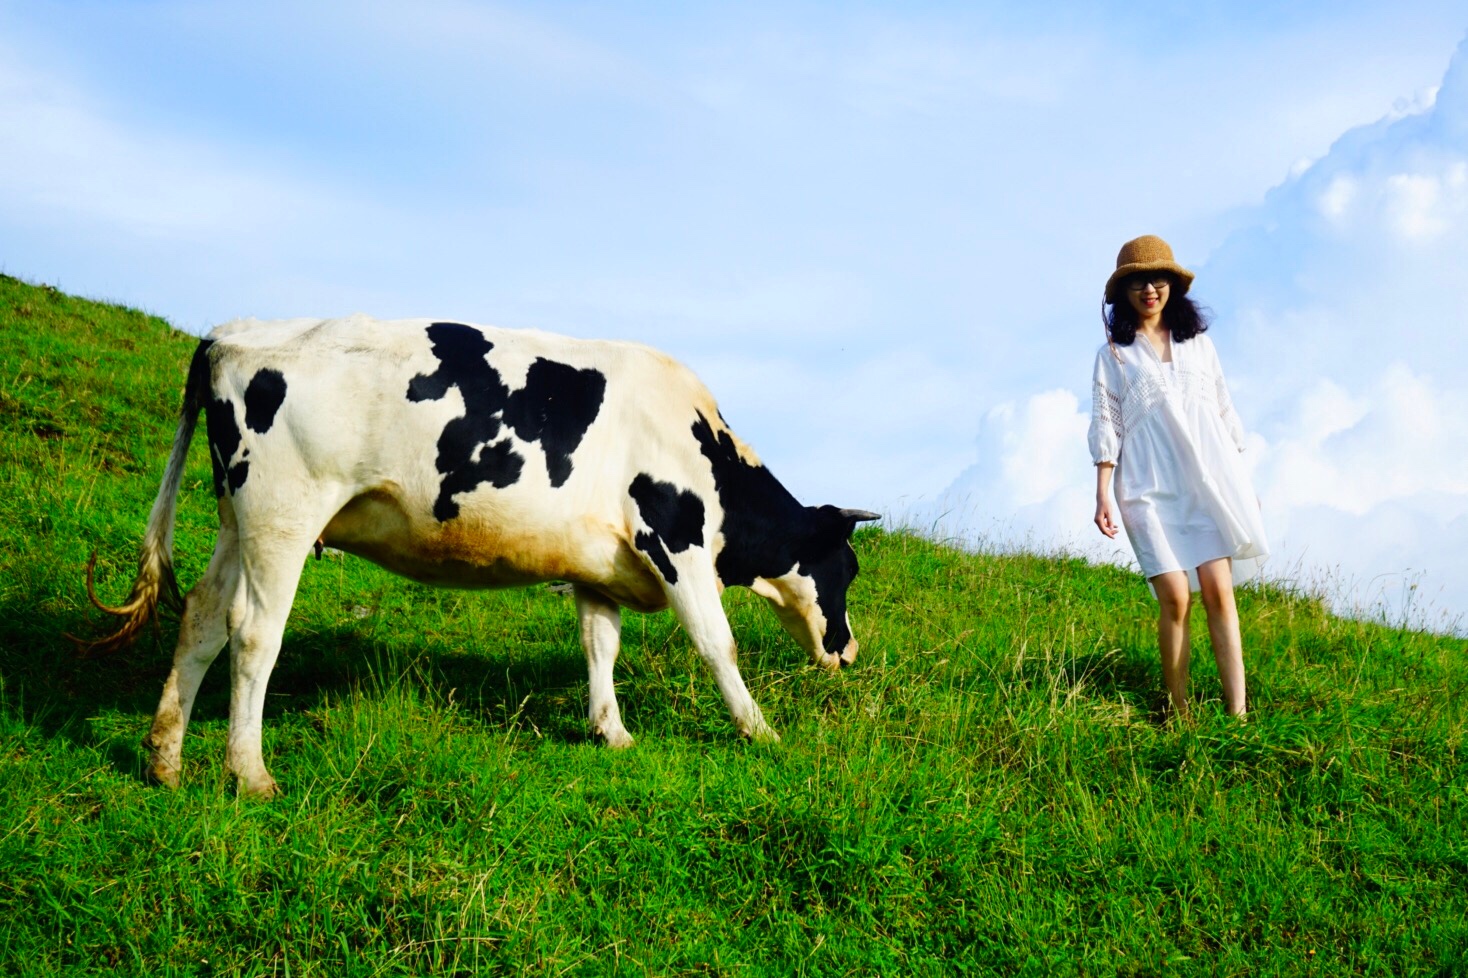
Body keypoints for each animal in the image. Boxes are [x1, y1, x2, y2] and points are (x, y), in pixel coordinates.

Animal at [80, 315, 874, 798]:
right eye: (850, 567)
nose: (849, 649)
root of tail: (231, 334)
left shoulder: (599, 568)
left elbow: (600, 646)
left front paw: (611, 731)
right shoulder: (673, 541)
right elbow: (718, 643)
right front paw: (758, 729)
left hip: (235, 522)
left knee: (201, 619)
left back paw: (165, 759)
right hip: (283, 514)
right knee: (252, 634)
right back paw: (250, 773)